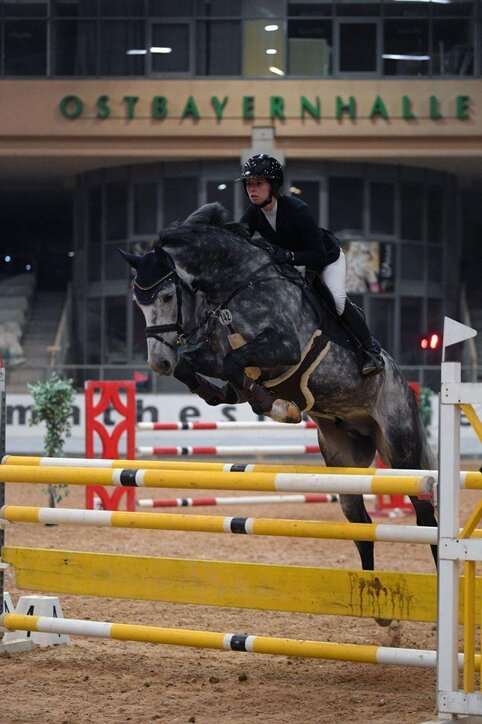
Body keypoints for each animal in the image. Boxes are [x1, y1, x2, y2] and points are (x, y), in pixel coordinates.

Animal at [121, 202, 437, 571]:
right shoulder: (219, 351)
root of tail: (404, 386)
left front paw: (277, 406)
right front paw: (232, 395)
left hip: (401, 449)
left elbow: (230, 363)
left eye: (168, 296)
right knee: (361, 526)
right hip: (344, 459)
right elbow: (204, 365)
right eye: (137, 303)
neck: (238, 282)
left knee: (425, 518)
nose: (158, 362)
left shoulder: (285, 348)